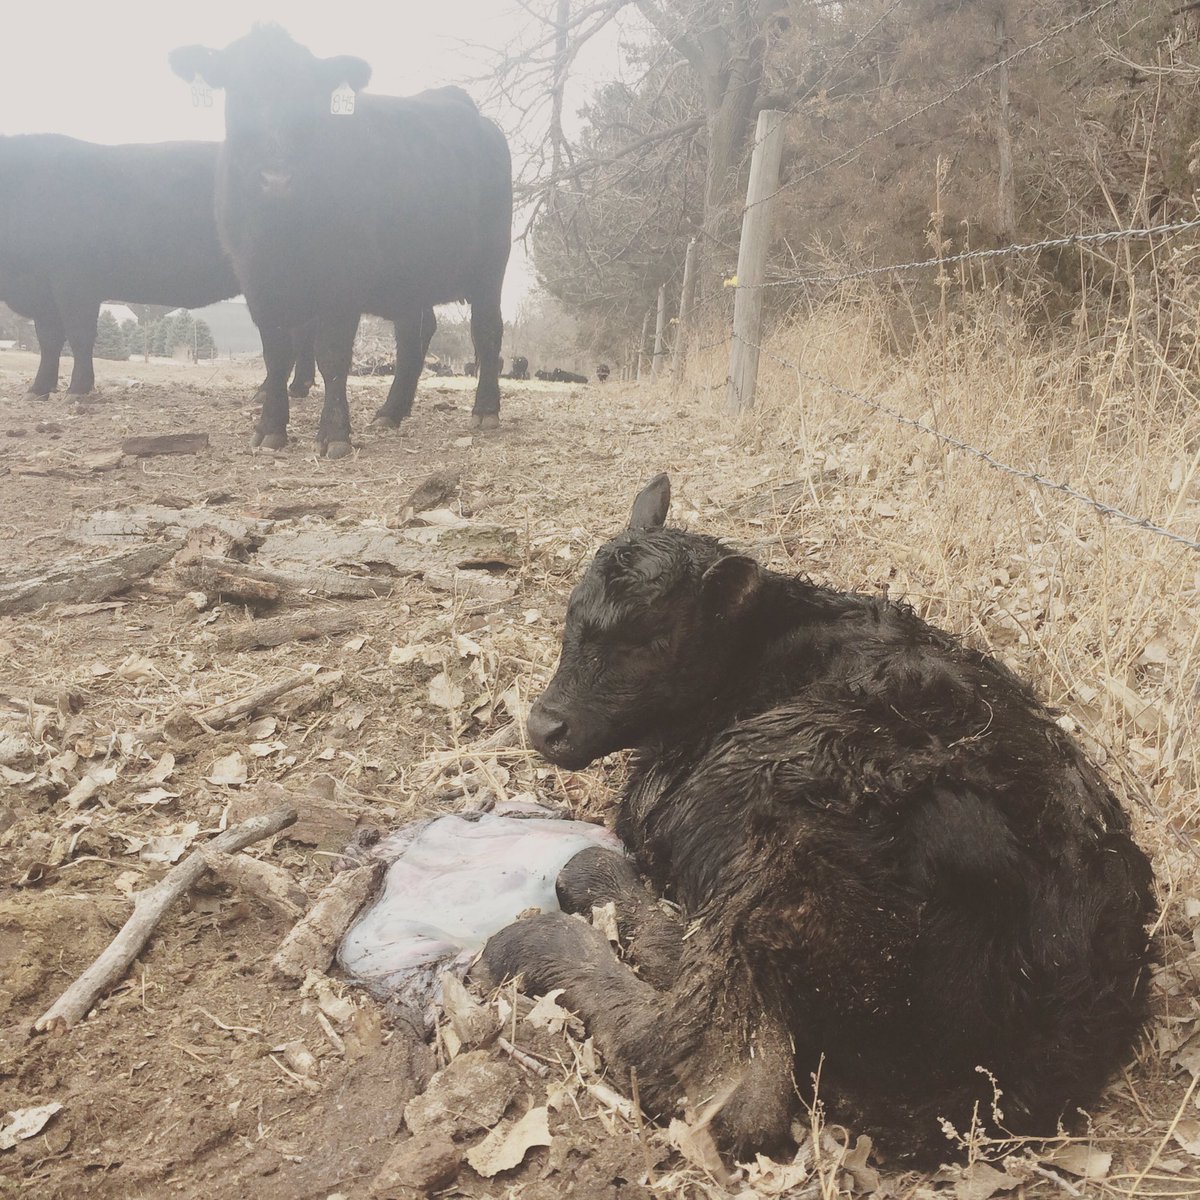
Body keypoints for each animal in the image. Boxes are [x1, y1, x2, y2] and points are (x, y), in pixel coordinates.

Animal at [0, 134, 313, 401]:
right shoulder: (41, 290)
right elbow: (49, 340)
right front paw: (38, 389)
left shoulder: (74, 281)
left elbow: (79, 337)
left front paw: (77, 390)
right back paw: (297, 387)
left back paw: (268, 391)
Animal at [169, 27, 513, 459]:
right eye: (239, 88)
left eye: (309, 96)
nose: (276, 178)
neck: (281, 233)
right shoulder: (256, 281)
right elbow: (275, 355)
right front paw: (270, 428)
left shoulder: (342, 281)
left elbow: (331, 357)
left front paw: (334, 433)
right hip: (410, 277)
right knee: (414, 336)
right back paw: (390, 412)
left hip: (490, 265)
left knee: (487, 332)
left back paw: (485, 411)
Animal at [477, 474, 1156, 1162]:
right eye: (571, 615)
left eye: (651, 639)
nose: (545, 726)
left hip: (777, 799)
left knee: (723, 1073)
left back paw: (543, 934)